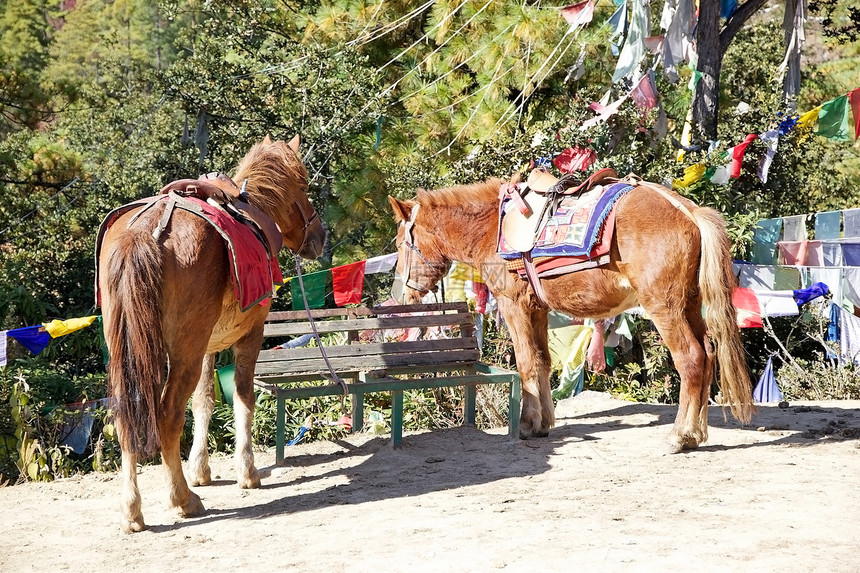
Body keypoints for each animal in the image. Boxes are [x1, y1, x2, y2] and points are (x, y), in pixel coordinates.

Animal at [98, 137, 326, 532]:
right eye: (304, 185)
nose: (320, 235)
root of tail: (143, 232)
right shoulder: (250, 335)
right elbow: (243, 396)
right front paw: (246, 471)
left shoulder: (207, 346)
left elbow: (204, 402)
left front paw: (200, 468)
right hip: (182, 354)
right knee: (168, 417)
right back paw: (182, 498)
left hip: (133, 354)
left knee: (128, 415)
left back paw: (132, 509)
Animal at [390, 178, 752, 452]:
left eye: (400, 243)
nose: (402, 294)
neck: (492, 227)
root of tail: (688, 211)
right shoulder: (537, 309)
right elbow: (542, 361)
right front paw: (542, 421)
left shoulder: (513, 305)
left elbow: (526, 362)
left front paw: (526, 423)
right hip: (690, 304)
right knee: (708, 355)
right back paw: (698, 433)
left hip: (665, 307)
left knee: (692, 359)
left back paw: (681, 435)